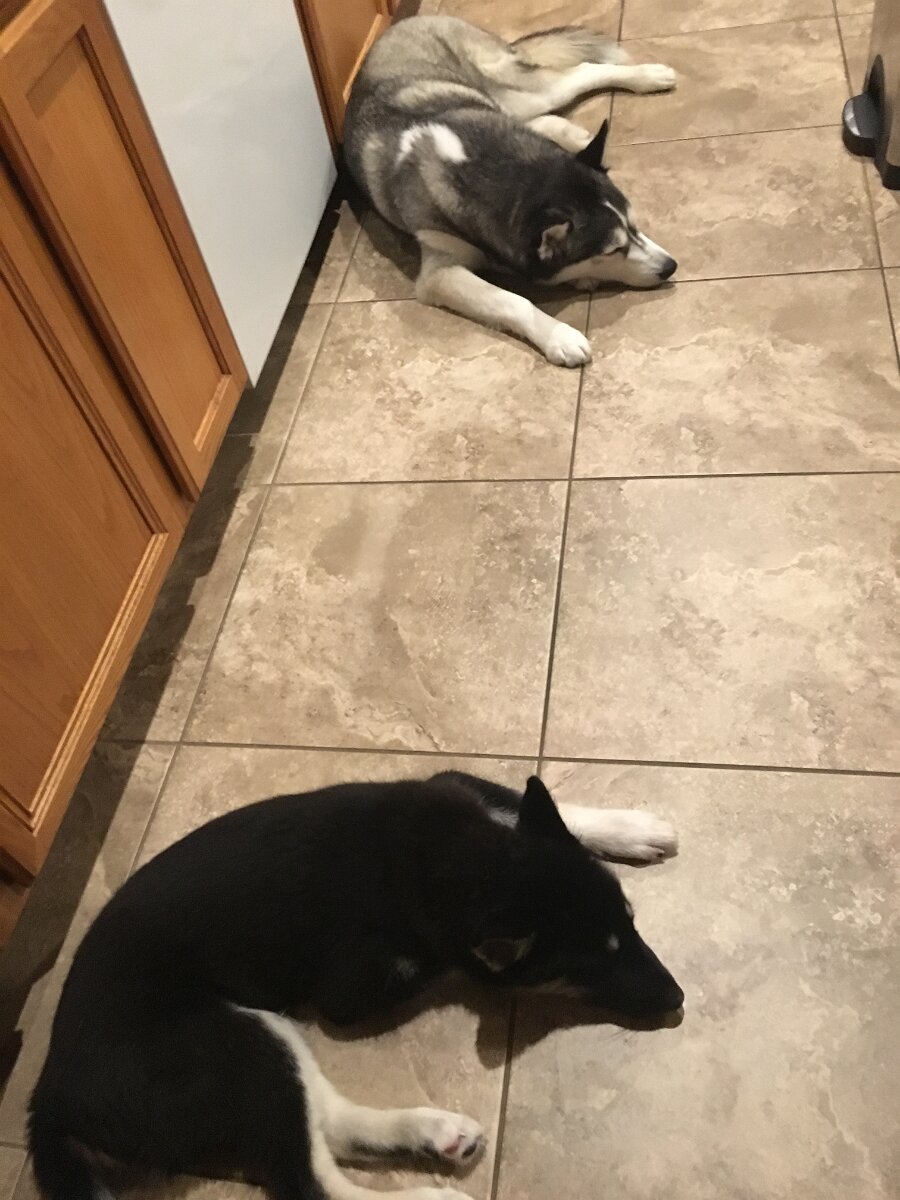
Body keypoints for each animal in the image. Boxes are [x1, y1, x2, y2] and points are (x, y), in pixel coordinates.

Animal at [28, 771, 682, 1200]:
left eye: (631, 921)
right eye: (593, 966)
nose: (678, 1001)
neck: (458, 860)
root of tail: (52, 1096)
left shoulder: (455, 788)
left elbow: (530, 799)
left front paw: (629, 827)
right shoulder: (352, 992)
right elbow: (446, 961)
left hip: (265, 1041)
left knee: (330, 1126)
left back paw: (434, 1134)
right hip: (233, 1045)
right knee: (309, 1181)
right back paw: (428, 1193)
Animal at [343, 16, 678, 367]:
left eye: (635, 225)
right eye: (612, 250)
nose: (670, 266)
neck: (485, 165)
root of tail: (409, 20)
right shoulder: (440, 273)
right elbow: (513, 301)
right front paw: (560, 335)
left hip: (518, 91)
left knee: (580, 72)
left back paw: (649, 76)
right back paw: (575, 133)